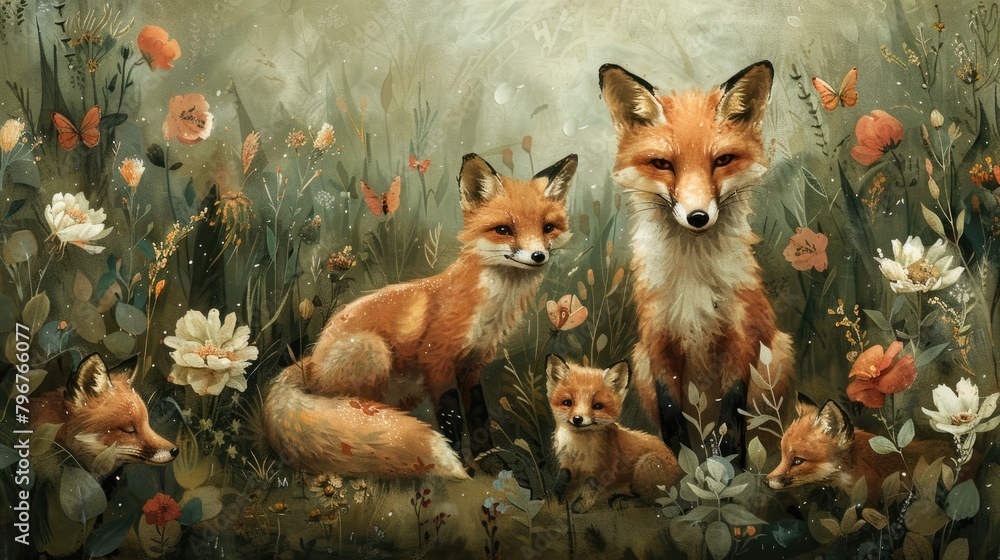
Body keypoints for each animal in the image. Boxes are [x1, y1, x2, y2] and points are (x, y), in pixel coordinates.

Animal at [263, 153, 577, 479]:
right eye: (504, 230)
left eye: (548, 227)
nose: (538, 256)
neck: (487, 307)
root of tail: (311, 361)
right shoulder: (436, 359)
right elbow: (453, 420)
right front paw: (463, 467)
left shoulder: (472, 364)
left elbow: (478, 416)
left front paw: (490, 460)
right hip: (372, 352)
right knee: (360, 407)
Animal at [546, 355, 682, 513]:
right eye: (567, 403)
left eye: (598, 406)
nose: (578, 419)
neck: (578, 447)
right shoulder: (567, 463)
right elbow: (562, 480)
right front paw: (556, 497)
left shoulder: (604, 468)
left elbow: (589, 487)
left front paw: (581, 506)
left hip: (646, 465)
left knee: (654, 500)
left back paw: (623, 499)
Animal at [598, 61, 794, 460]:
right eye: (662, 164)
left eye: (722, 161)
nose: (698, 217)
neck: (694, 282)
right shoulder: (658, 340)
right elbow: (672, 417)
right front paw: (682, 468)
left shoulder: (742, 336)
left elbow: (732, 418)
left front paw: (730, 465)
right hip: (639, 361)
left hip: (777, 357)